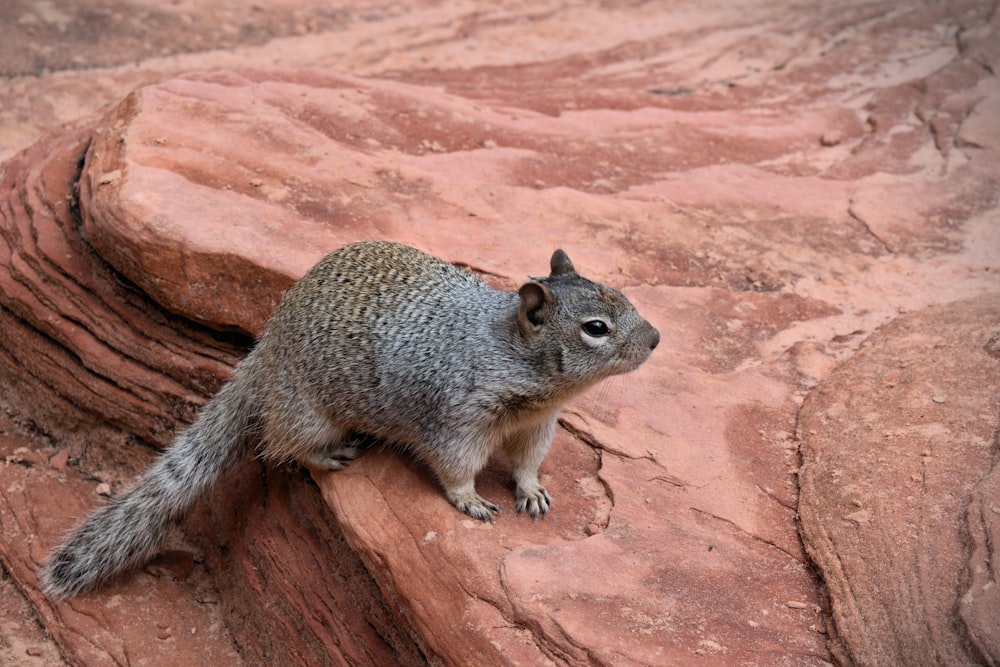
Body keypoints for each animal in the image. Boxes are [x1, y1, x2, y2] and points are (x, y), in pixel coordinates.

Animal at [43, 241, 660, 600]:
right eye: (596, 328)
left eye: (621, 294)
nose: (656, 338)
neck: (513, 358)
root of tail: (265, 350)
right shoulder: (455, 419)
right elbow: (454, 467)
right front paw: (470, 500)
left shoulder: (539, 423)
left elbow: (530, 462)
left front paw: (530, 491)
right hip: (310, 414)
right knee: (283, 443)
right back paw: (332, 453)